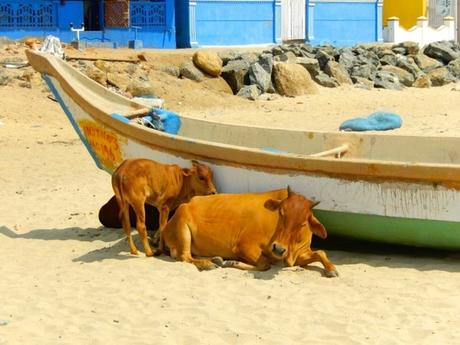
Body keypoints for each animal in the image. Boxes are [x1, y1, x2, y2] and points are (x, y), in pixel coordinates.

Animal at [163, 187, 338, 276]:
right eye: (281, 212)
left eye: (302, 223)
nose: (278, 249)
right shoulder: (244, 246)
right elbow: (265, 264)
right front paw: (233, 262)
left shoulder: (299, 255)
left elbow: (320, 252)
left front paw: (331, 269)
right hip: (183, 225)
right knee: (185, 257)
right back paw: (208, 264)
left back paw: (215, 259)